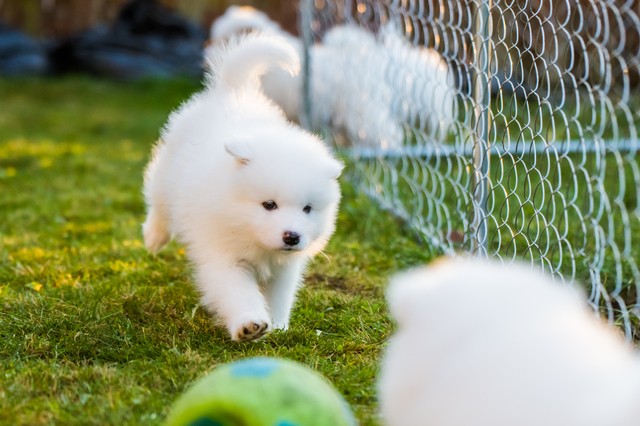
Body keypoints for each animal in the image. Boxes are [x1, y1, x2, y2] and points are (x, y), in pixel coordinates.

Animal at [142, 31, 342, 342]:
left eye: (308, 209)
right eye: (269, 204)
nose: (292, 236)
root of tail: (234, 90)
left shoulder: (284, 269)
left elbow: (279, 296)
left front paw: (278, 326)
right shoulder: (224, 257)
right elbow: (237, 292)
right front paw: (249, 324)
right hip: (166, 176)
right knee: (158, 202)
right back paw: (154, 236)